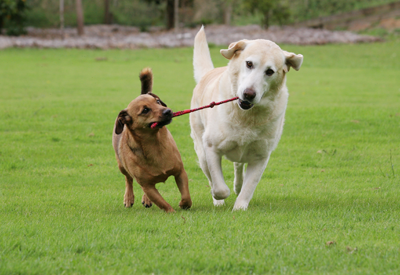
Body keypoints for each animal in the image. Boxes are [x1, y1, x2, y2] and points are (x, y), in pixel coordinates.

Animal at [112, 67, 192, 213]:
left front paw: (184, 204)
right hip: (121, 165)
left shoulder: (180, 172)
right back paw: (129, 198)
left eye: (158, 102)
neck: (154, 144)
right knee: (128, 179)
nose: (168, 111)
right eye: (145, 110)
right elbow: (162, 203)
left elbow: (186, 195)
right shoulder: (146, 185)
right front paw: (172, 212)